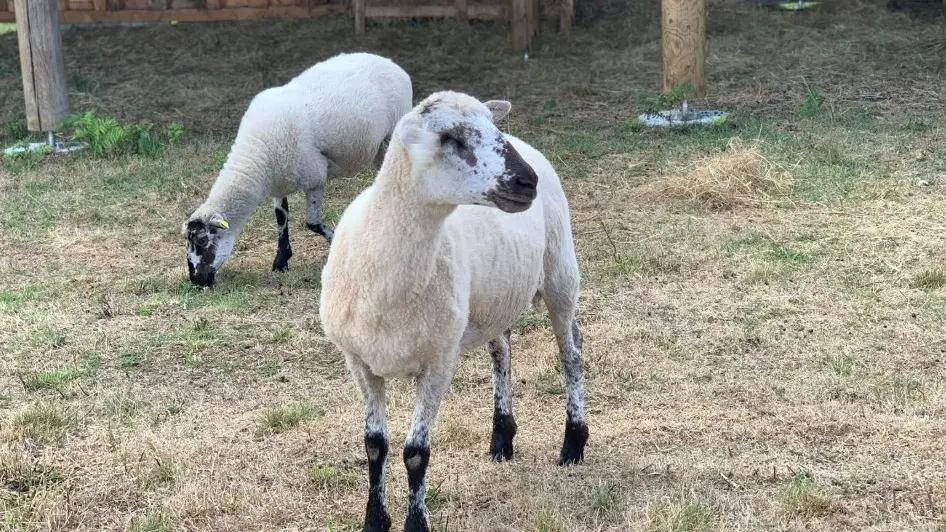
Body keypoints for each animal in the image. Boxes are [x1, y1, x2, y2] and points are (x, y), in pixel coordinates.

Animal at [182, 52, 413, 287]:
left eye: (202, 240)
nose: (196, 280)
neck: (254, 159)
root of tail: (386, 61)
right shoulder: (279, 182)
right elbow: (281, 219)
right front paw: (281, 261)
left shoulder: (315, 177)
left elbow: (312, 223)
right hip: (378, 148)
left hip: (394, 131)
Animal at [319, 91, 588, 532]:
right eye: (450, 138)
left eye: (491, 128)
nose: (526, 181)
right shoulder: (358, 361)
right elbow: (375, 446)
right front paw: (374, 520)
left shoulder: (438, 364)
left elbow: (415, 453)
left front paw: (416, 524)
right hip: (494, 296)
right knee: (502, 352)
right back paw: (502, 438)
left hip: (560, 272)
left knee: (572, 354)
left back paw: (574, 442)